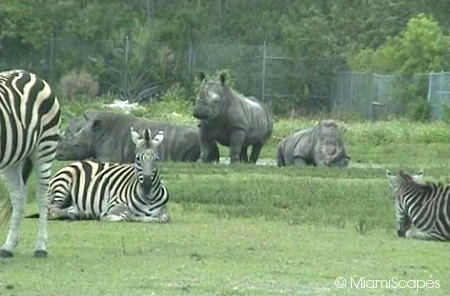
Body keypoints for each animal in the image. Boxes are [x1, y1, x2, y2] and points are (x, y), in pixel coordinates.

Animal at [0, 70, 60, 258]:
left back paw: (40, 247)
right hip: (12, 159)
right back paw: (8, 247)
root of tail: (29, 73)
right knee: (19, 195)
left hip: (45, 148)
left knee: (42, 196)